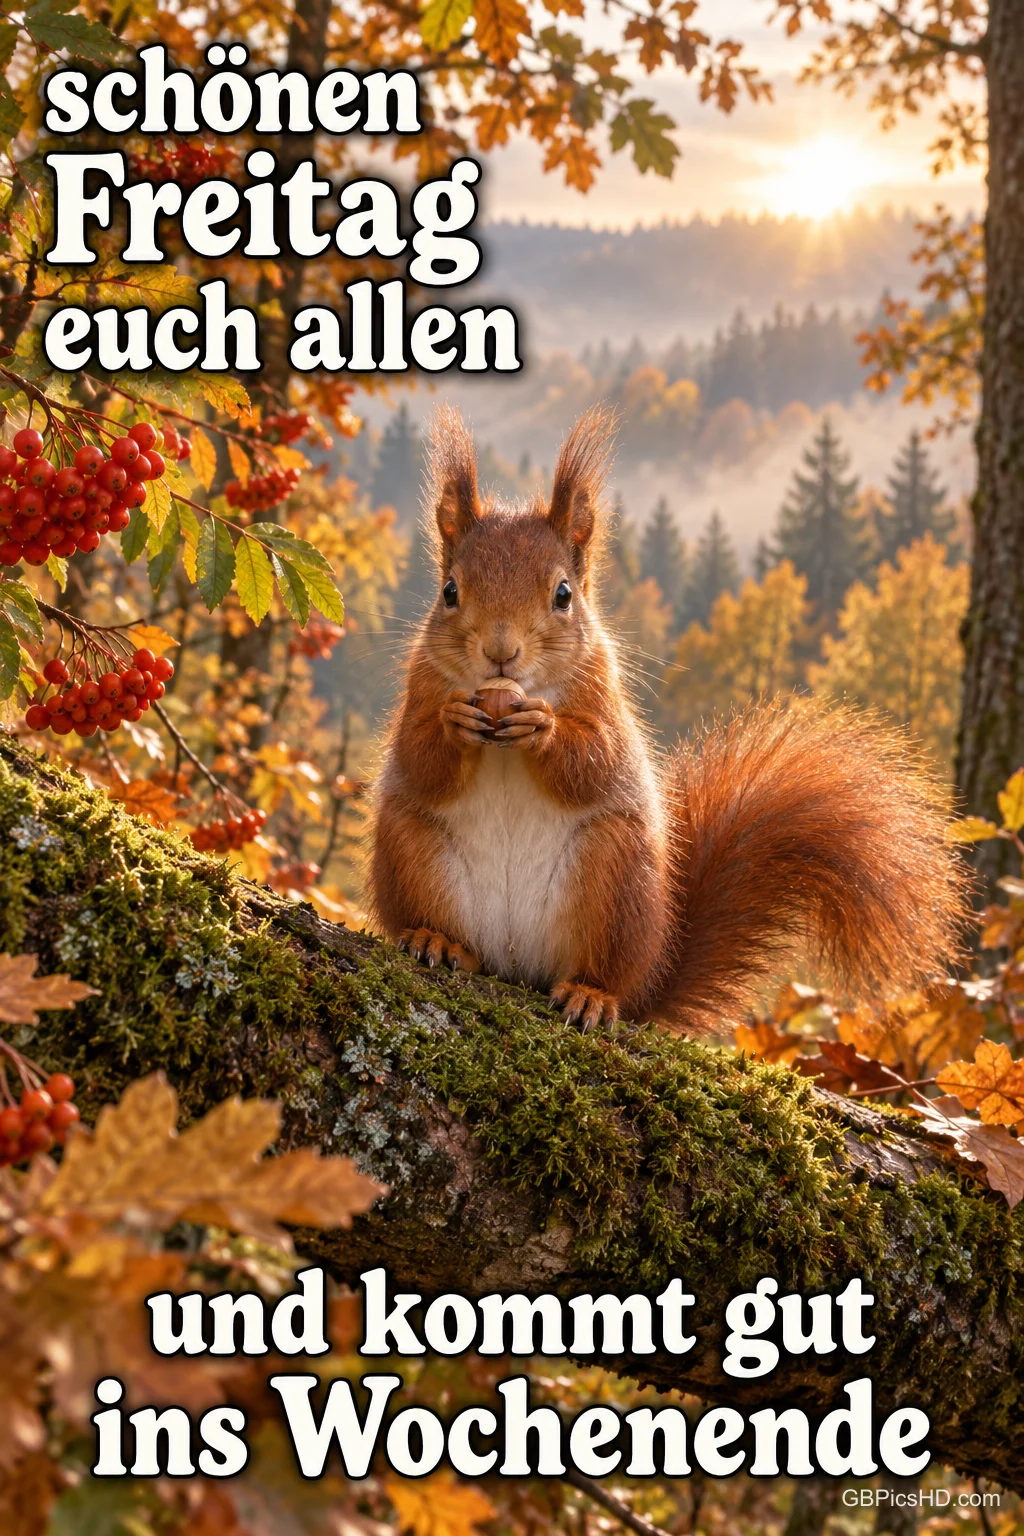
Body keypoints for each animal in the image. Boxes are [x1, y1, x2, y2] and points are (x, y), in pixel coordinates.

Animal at [368, 406, 966, 1032]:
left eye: (564, 594)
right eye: (449, 591)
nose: (500, 652)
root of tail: (516, 962)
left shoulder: (603, 694)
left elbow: (597, 761)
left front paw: (543, 727)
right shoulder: (422, 686)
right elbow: (417, 756)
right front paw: (455, 722)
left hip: (615, 875)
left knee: (605, 970)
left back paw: (590, 993)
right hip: (412, 850)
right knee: (452, 924)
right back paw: (439, 941)